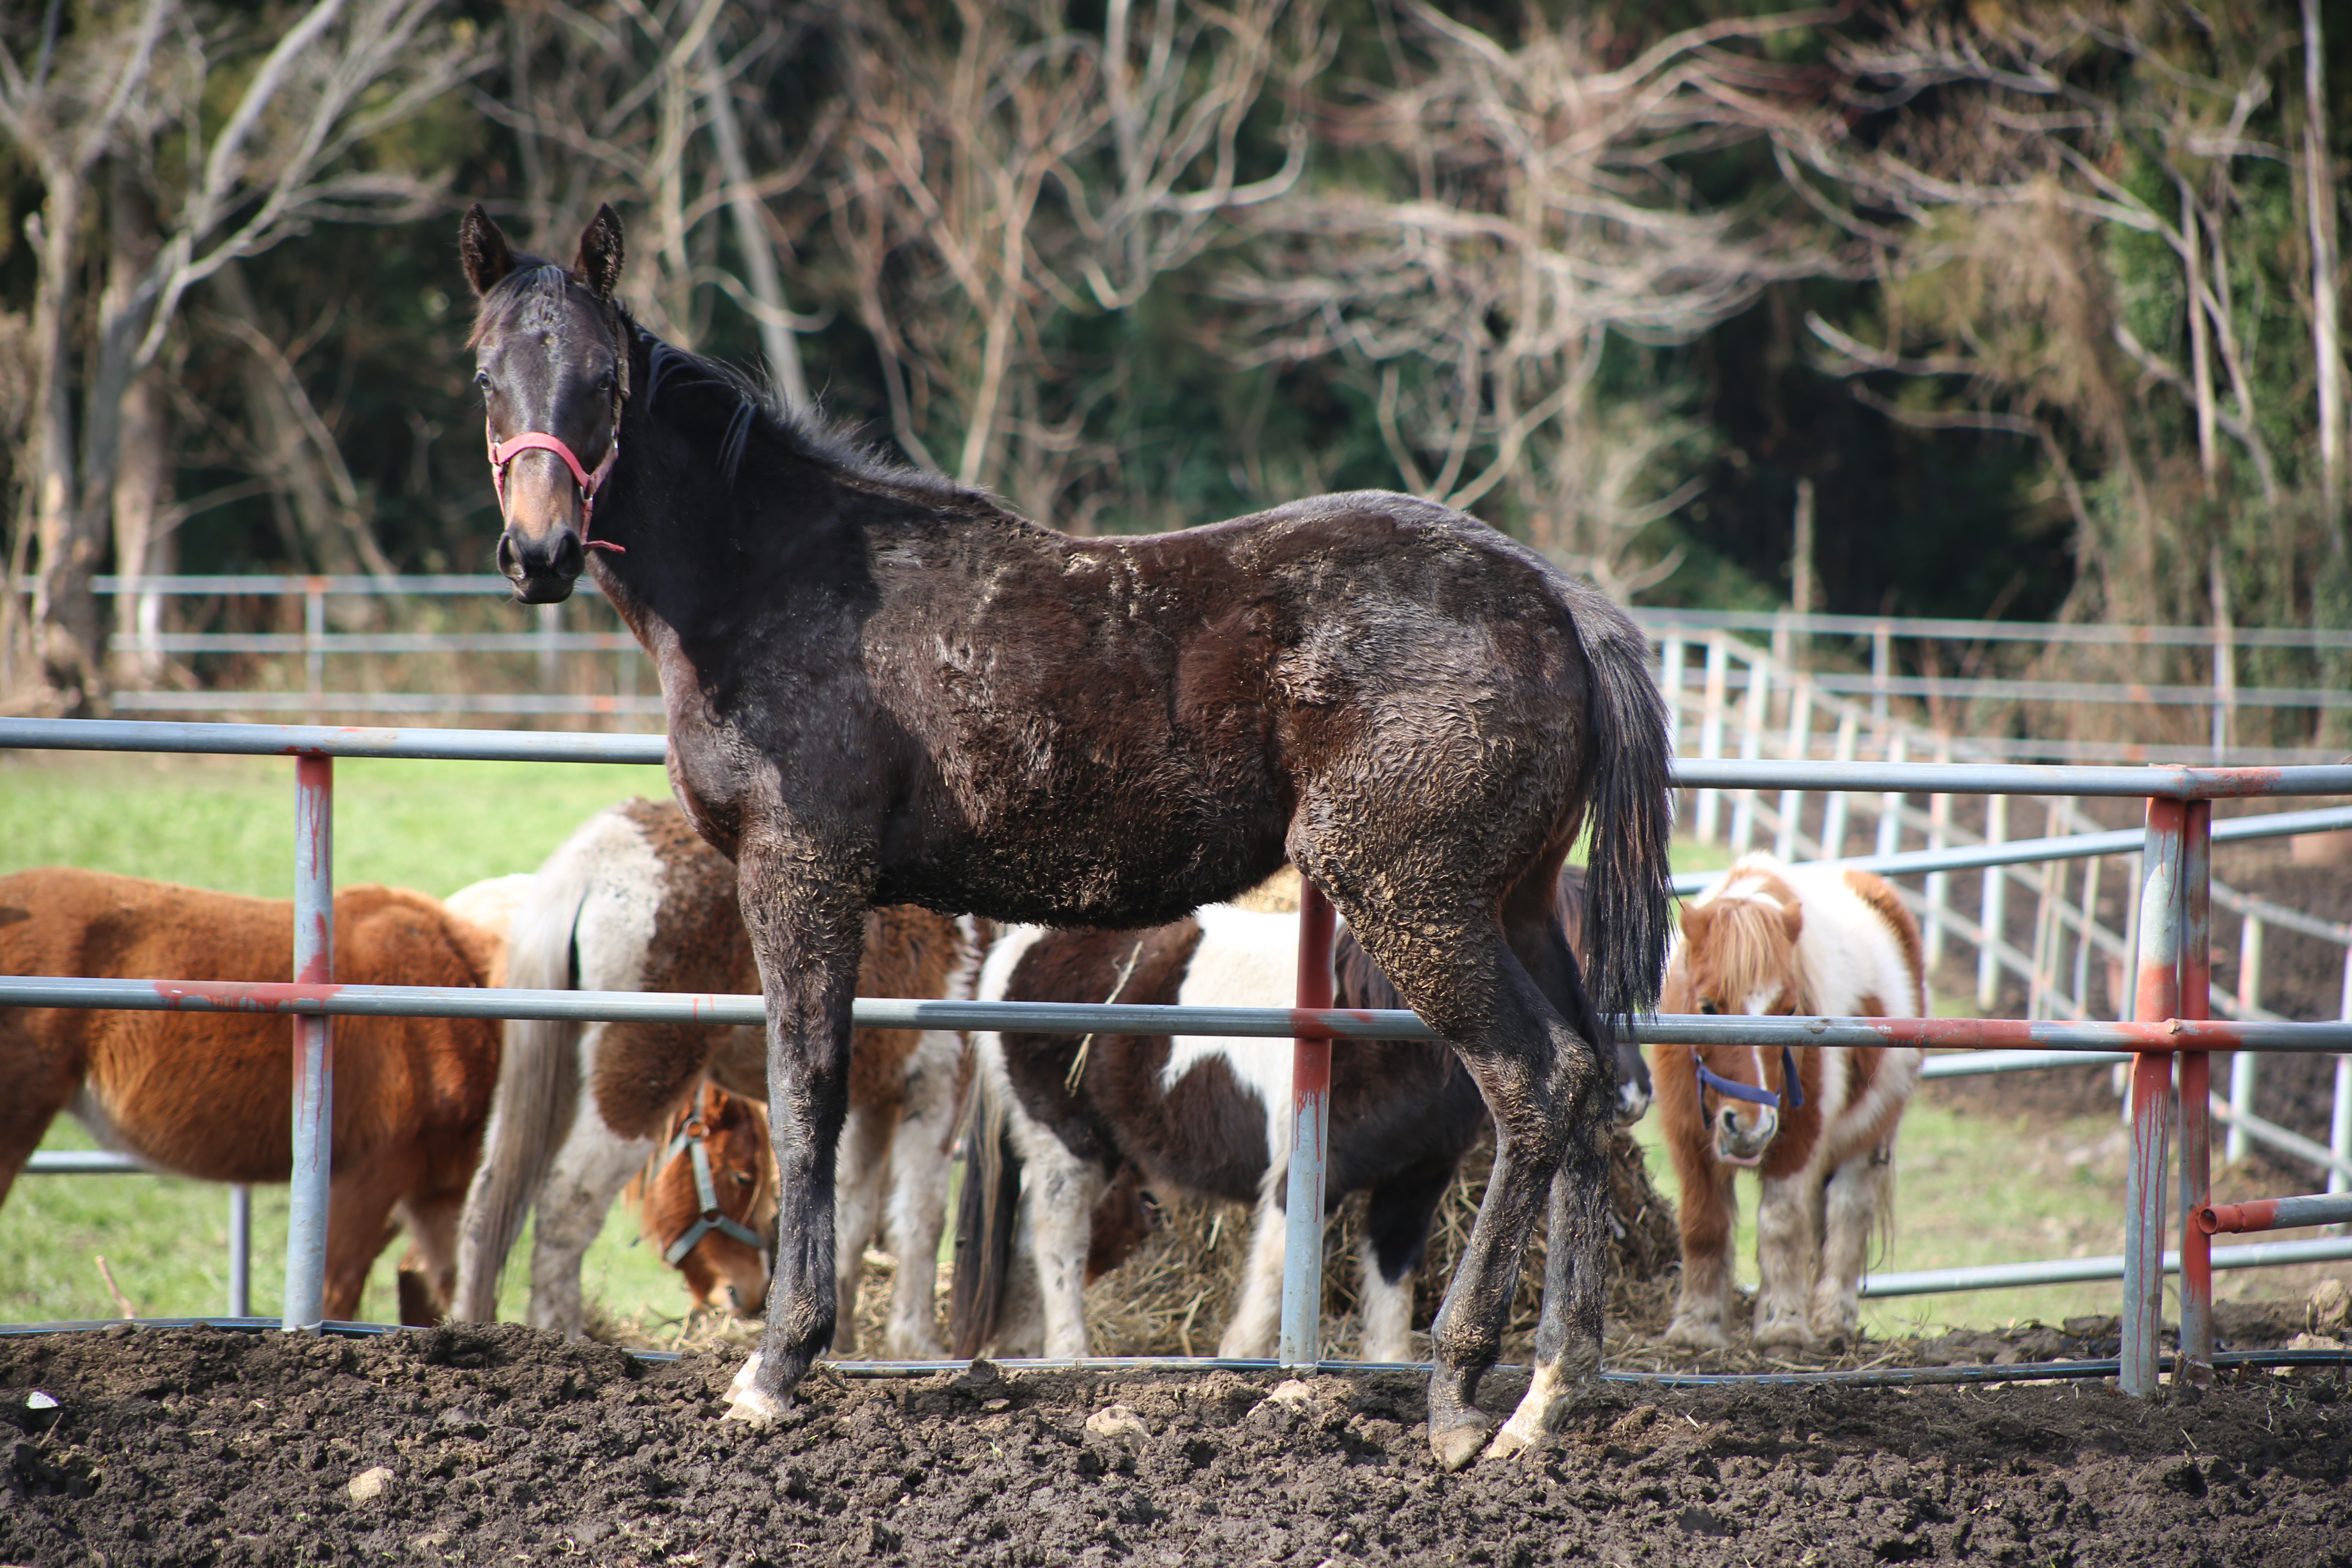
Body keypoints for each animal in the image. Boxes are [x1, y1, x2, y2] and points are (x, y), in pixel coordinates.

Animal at [449, 804, 973, 1354]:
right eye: (741, 1177)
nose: (750, 1292)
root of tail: (601, 854)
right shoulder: (941, 1086)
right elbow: (922, 1216)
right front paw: (918, 1344)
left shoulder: (875, 1102)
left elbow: (853, 1213)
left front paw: (846, 1341)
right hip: (636, 1081)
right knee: (567, 1204)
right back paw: (568, 1337)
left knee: (488, 1205)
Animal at [1656, 851, 1929, 1354]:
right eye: (1707, 1006)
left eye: (1788, 1010)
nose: (1749, 1127)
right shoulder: (1688, 1142)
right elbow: (1704, 1225)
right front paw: (1697, 1326)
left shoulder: (1801, 1142)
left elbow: (1781, 1227)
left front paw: (1781, 1325)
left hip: (1869, 1137)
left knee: (1847, 1216)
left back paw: (1832, 1319)